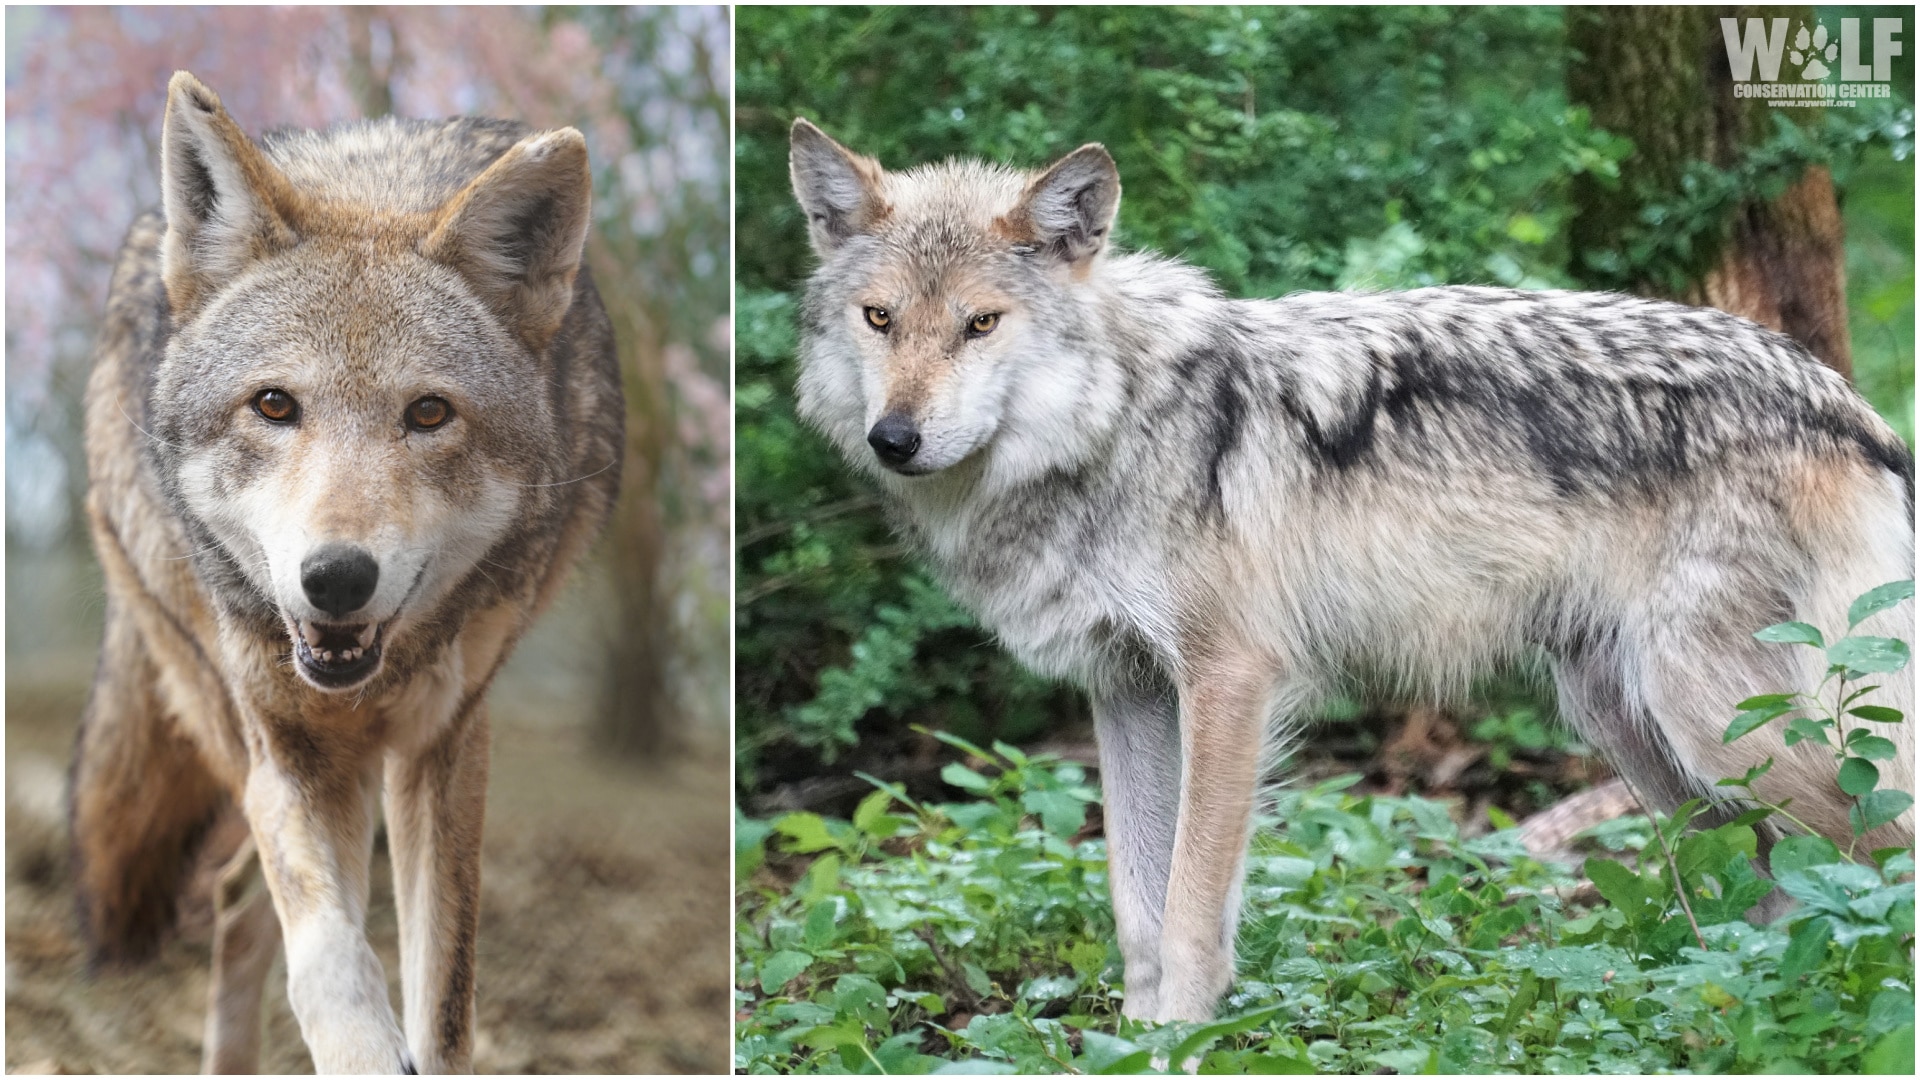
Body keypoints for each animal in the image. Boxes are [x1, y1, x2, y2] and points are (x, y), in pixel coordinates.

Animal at [67, 73, 618, 1068]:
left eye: (429, 414)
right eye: (273, 405)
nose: (335, 578)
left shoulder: (445, 746)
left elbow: (444, 1003)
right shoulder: (288, 747)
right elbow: (328, 952)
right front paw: (365, 1048)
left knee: (242, 898)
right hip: (239, 717)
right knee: (247, 899)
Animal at [787, 117, 1912, 1014]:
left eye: (981, 323)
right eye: (880, 318)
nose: (895, 439)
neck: (1114, 425)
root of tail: (1846, 403)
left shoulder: (1230, 683)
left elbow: (1189, 910)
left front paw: (1182, 1043)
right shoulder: (1128, 691)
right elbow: (1136, 910)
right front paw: (1130, 1045)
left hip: (1710, 723)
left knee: (1867, 852)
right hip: (1640, 733)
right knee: (1775, 881)